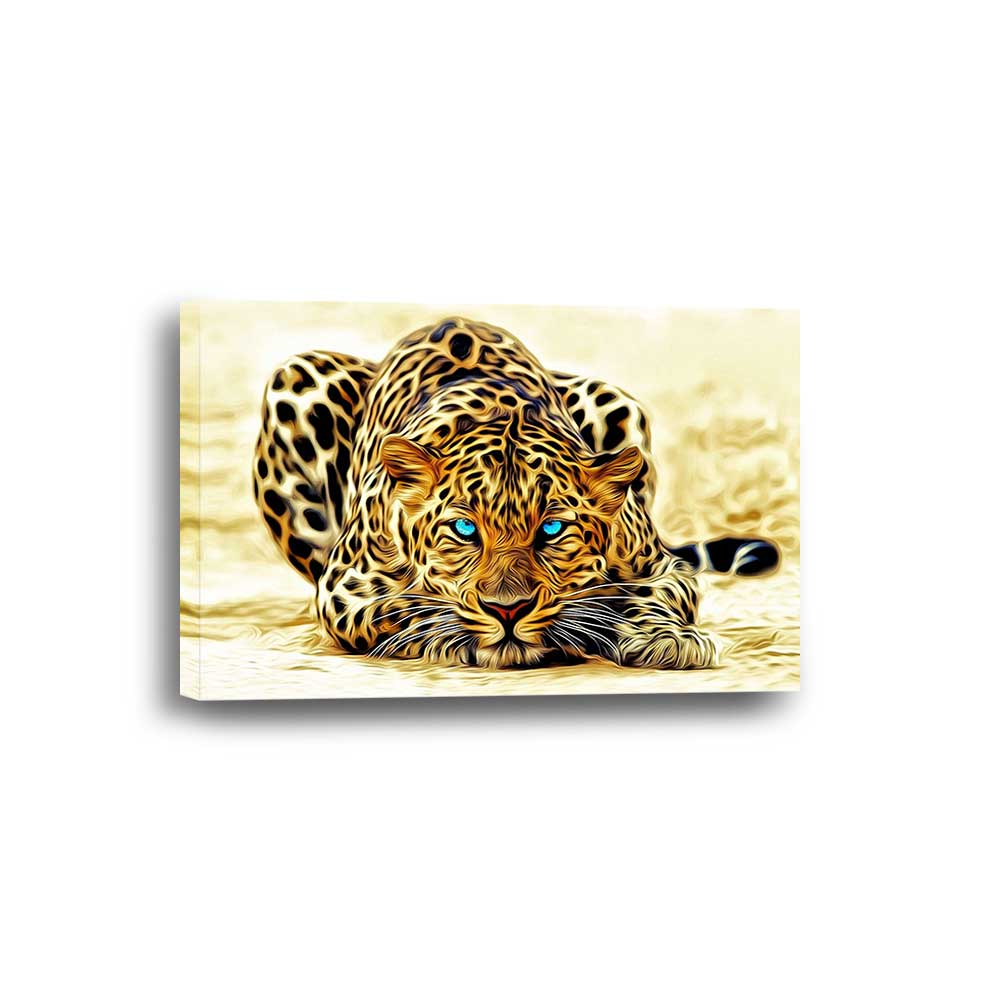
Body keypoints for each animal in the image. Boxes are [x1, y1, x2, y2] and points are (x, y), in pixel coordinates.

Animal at [252, 317, 779, 670]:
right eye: (464, 529)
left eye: (553, 529)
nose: (508, 610)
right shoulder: (344, 586)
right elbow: (402, 608)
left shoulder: (663, 567)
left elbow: (650, 594)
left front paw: (665, 638)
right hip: (296, 378)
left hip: (615, 399)